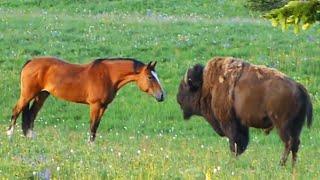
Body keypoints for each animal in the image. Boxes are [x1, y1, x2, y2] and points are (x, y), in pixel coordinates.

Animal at [7, 56, 165, 142]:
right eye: (150, 77)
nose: (162, 95)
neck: (108, 75)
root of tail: (30, 62)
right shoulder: (95, 105)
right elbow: (92, 126)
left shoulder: (103, 106)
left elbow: (96, 127)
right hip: (28, 94)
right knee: (16, 111)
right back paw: (10, 136)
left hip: (42, 95)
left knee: (31, 115)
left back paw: (30, 138)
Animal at [175, 57, 312, 166]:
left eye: (185, 87)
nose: (178, 98)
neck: (207, 86)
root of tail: (299, 86)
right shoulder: (242, 124)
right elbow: (241, 144)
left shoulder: (229, 122)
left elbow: (235, 144)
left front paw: (232, 161)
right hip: (296, 126)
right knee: (295, 144)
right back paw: (292, 166)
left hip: (282, 125)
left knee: (289, 143)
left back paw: (281, 164)